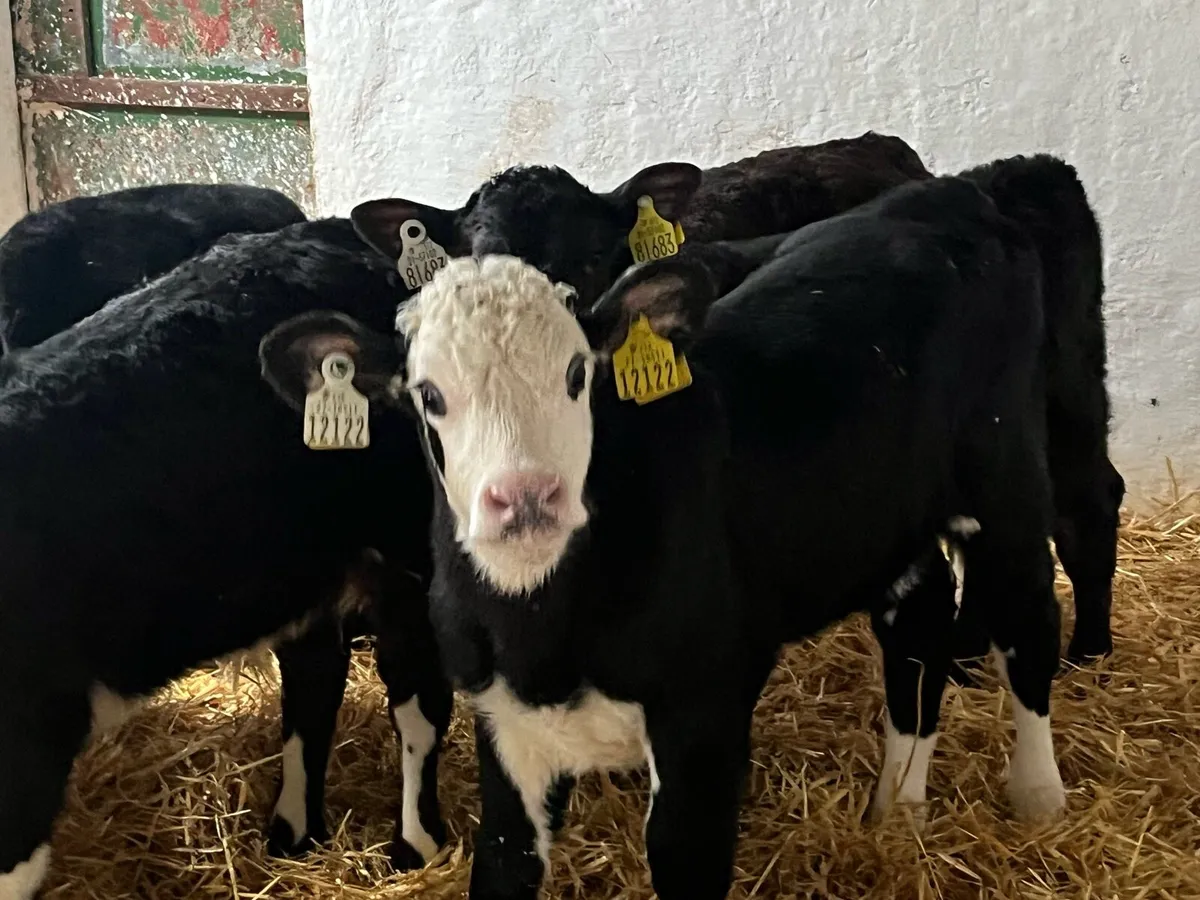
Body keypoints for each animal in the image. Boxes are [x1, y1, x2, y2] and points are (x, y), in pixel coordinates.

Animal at [261, 175, 1067, 900]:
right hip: (893, 519)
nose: (526, 496)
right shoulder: (502, 720)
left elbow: (684, 862)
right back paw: (896, 804)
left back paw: (1038, 797)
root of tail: (948, 197)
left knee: (1028, 616)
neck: (545, 630)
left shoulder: (703, 718)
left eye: (578, 373)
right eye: (429, 395)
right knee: (919, 625)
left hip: (1008, 479)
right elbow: (502, 864)